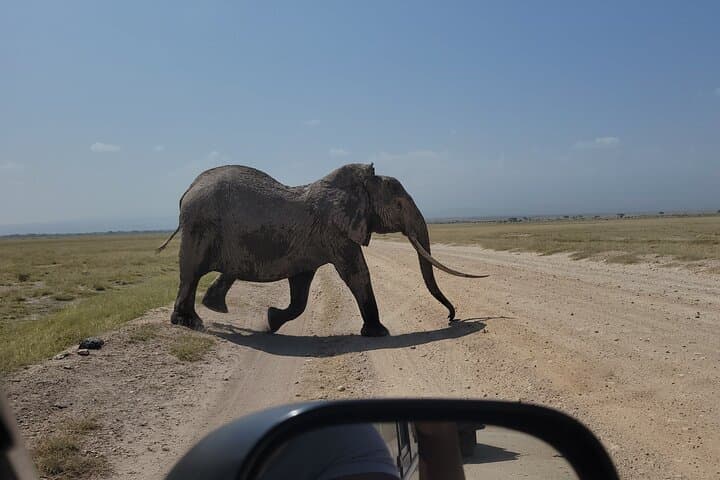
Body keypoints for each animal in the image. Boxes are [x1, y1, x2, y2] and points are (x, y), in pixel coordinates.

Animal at [158, 163, 487, 337]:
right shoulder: (337, 232)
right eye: (399, 204)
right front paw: (378, 333)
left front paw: (270, 321)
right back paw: (190, 322)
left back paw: (211, 310)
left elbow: (301, 290)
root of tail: (187, 190)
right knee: (190, 274)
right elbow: (357, 274)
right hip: (199, 227)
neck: (358, 186)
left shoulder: (311, 244)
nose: (452, 317)